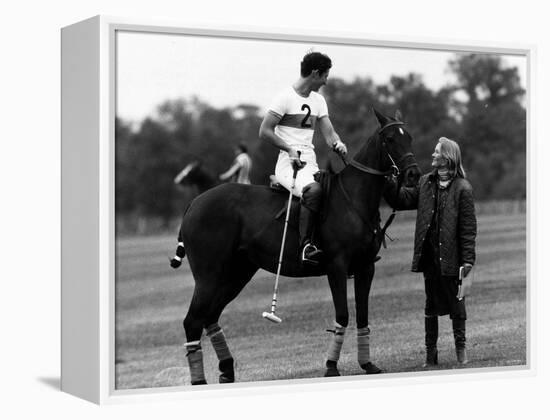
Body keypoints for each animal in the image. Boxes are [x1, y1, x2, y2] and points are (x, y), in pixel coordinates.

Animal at [172, 108, 422, 384]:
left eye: (409, 137)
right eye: (389, 139)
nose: (413, 174)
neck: (354, 199)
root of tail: (194, 203)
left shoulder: (366, 267)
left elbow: (363, 315)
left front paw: (368, 364)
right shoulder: (337, 266)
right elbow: (343, 315)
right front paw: (331, 367)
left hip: (236, 273)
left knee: (209, 316)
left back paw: (227, 370)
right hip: (208, 275)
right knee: (192, 320)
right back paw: (200, 380)